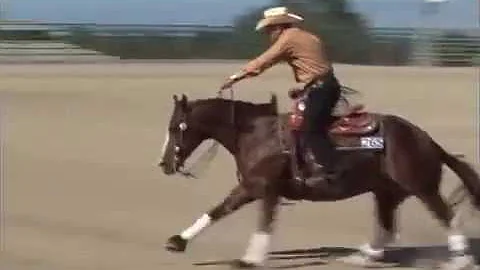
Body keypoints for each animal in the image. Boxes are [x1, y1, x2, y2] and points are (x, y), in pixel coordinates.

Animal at [158, 92, 480, 268]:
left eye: (176, 128)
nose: (164, 164)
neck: (255, 134)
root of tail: (427, 140)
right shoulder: (254, 188)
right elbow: (218, 211)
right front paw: (178, 241)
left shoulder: (263, 188)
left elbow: (258, 220)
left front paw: (249, 259)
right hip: (386, 192)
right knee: (387, 228)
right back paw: (362, 257)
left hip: (422, 187)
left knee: (447, 217)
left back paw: (460, 260)